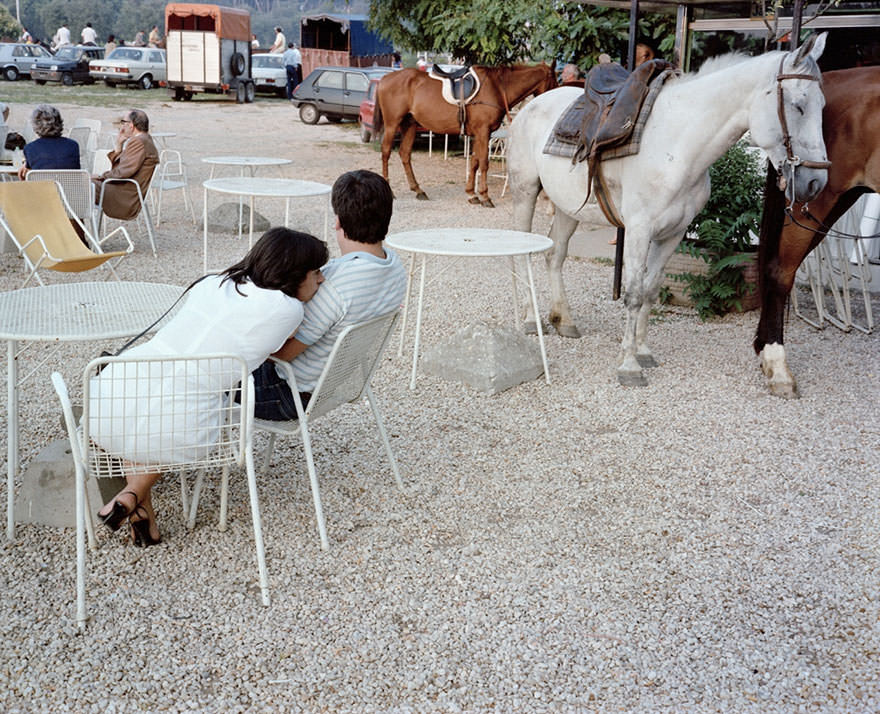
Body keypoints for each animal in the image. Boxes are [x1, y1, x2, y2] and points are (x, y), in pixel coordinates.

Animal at [372, 62, 556, 207]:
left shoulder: (480, 134)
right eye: (554, 81)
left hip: (409, 125)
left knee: (404, 154)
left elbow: (474, 162)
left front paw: (472, 194)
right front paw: (485, 196)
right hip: (392, 124)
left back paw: (418, 190)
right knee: (386, 152)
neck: (498, 87)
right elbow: (483, 163)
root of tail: (384, 79)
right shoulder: (483, 132)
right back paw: (391, 190)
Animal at [508, 34, 832, 384]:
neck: (678, 145)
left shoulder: (673, 232)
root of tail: (529, 108)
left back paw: (563, 319)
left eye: (822, 107)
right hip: (525, 192)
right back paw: (528, 320)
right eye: (798, 106)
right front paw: (628, 365)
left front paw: (643, 352)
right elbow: (634, 293)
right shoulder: (639, 229)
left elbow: (650, 289)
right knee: (521, 252)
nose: (816, 182)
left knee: (555, 255)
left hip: (568, 207)